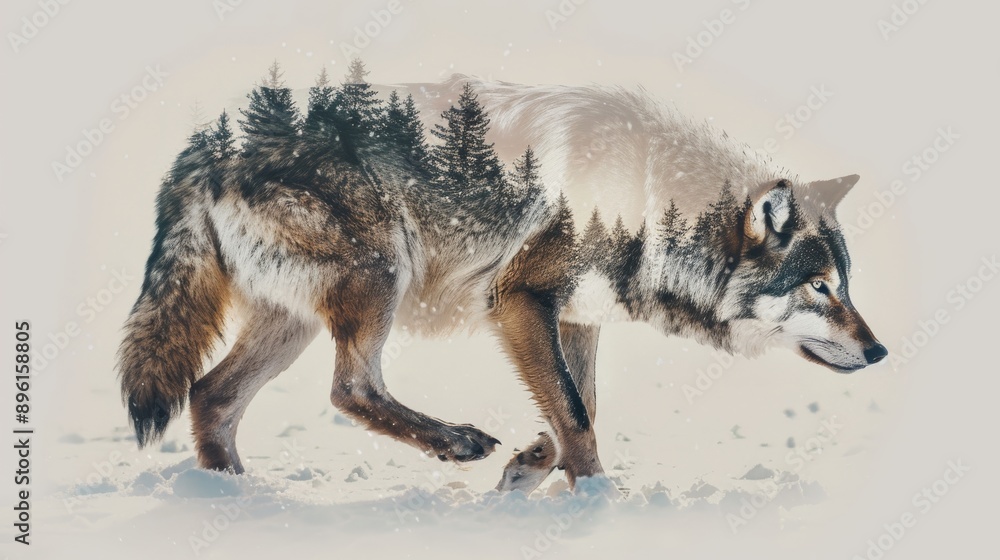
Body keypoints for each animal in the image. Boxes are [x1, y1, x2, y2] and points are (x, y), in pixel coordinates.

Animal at [117, 75, 886, 495]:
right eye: (820, 287)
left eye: (844, 284)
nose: (879, 353)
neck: (648, 202)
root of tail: (205, 144)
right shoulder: (516, 298)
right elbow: (575, 412)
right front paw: (598, 498)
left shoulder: (574, 318)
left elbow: (580, 405)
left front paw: (531, 468)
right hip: (381, 276)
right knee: (349, 387)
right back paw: (454, 442)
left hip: (300, 318)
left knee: (212, 395)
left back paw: (234, 499)